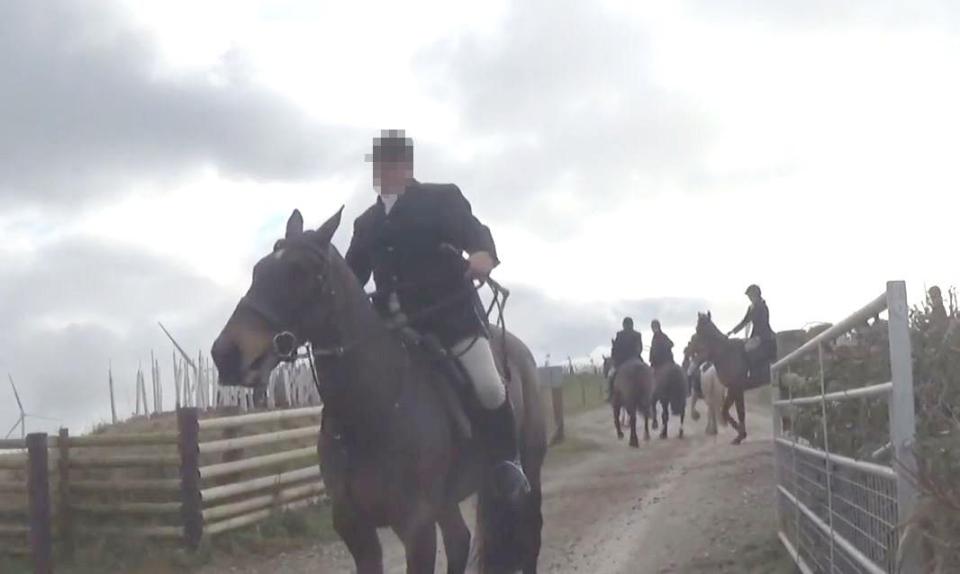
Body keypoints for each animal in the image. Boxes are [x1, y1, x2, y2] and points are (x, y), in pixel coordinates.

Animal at [214, 212, 552, 574]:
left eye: (301, 271)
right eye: (258, 270)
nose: (225, 354)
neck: (368, 413)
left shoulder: (417, 527)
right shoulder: (354, 527)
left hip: (527, 473)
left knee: (530, 536)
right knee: (460, 540)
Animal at [696, 316, 752, 446]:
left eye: (698, 329)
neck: (726, 353)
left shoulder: (735, 388)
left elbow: (736, 412)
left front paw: (740, 435)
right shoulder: (734, 389)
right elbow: (729, 411)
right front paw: (740, 434)